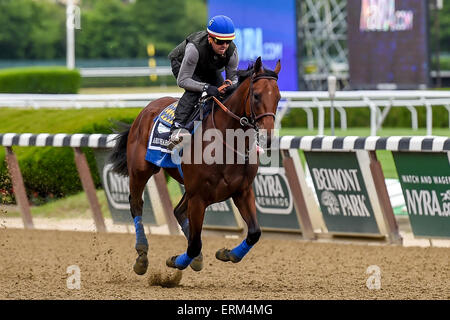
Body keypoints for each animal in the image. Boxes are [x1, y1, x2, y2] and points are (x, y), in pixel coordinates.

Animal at [109, 57, 282, 276]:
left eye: (278, 97)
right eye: (257, 95)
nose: (268, 137)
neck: (226, 143)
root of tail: (147, 109)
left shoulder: (241, 191)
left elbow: (254, 233)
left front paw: (227, 254)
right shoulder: (198, 197)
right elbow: (194, 244)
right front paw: (176, 261)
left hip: (189, 188)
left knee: (178, 211)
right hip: (141, 171)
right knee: (136, 204)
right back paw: (142, 255)